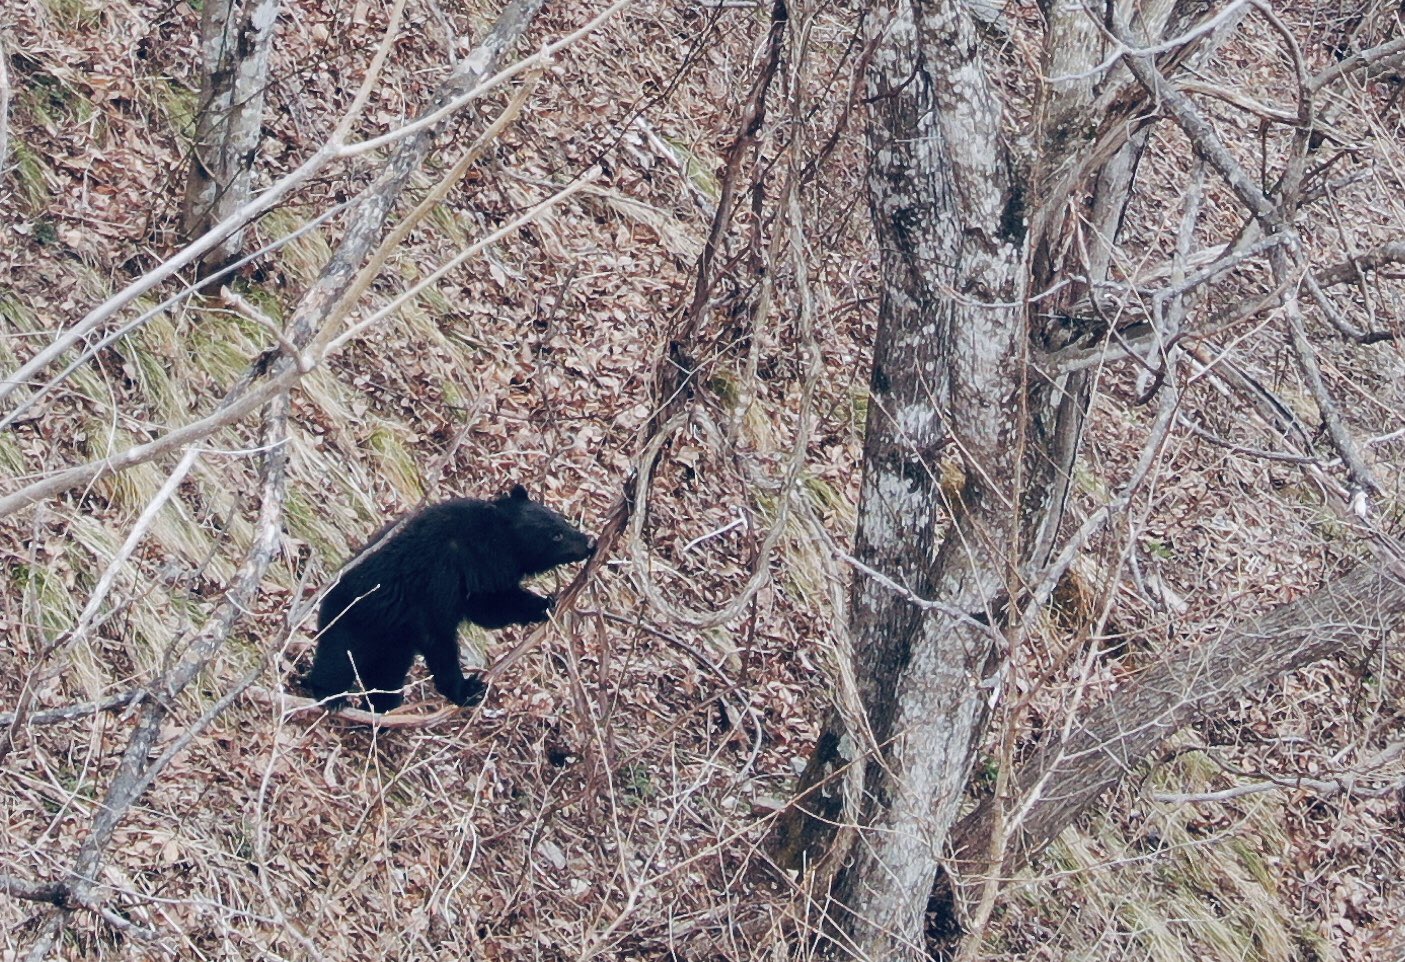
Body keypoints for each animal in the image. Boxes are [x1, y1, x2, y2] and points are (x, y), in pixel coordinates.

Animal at [304, 480, 595, 713]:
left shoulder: (475, 579)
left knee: (386, 673)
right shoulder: (440, 575)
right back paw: (330, 696)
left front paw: (543, 604)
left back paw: (382, 705)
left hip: (394, 644)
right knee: (337, 658)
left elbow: (489, 605)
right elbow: (437, 633)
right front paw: (466, 689)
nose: (589, 542)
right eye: (556, 535)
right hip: (355, 619)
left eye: (562, 521)